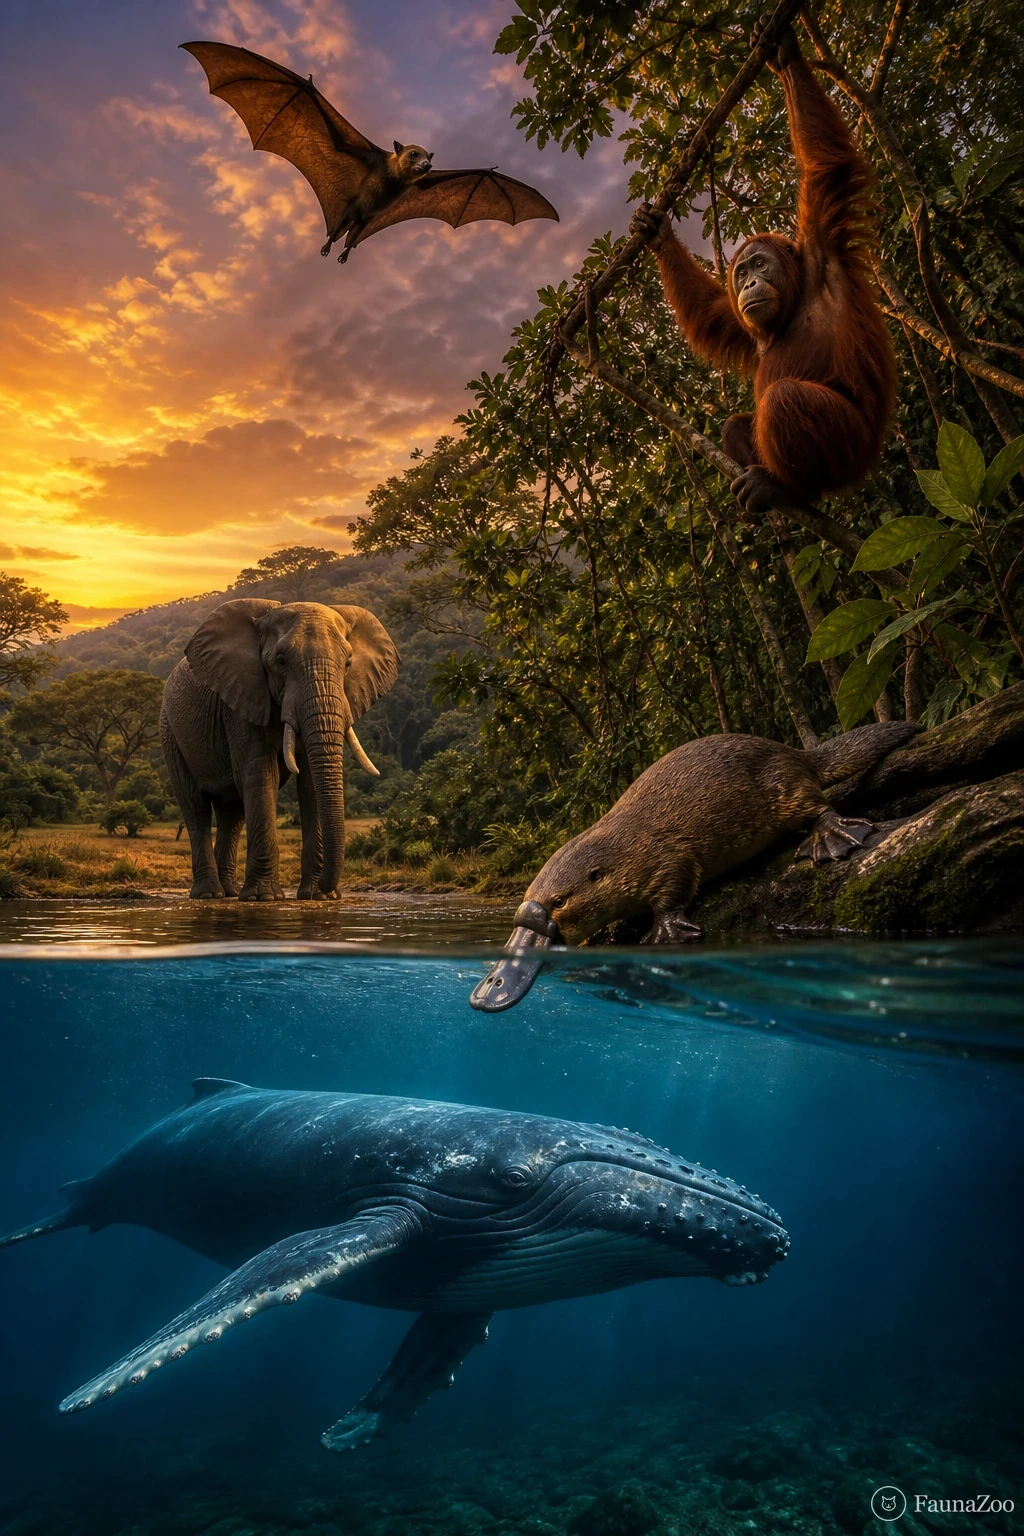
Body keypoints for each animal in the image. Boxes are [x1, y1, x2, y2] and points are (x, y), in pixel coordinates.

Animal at [160, 599, 399, 901]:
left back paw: (229, 892)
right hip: (171, 732)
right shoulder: (242, 701)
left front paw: (316, 896)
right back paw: (209, 894)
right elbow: (262, 776)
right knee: (196, 808)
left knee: (232, 812)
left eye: (347, 663)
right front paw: (264, 897)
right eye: (281, 663)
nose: (330, 890)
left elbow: (309, 784)